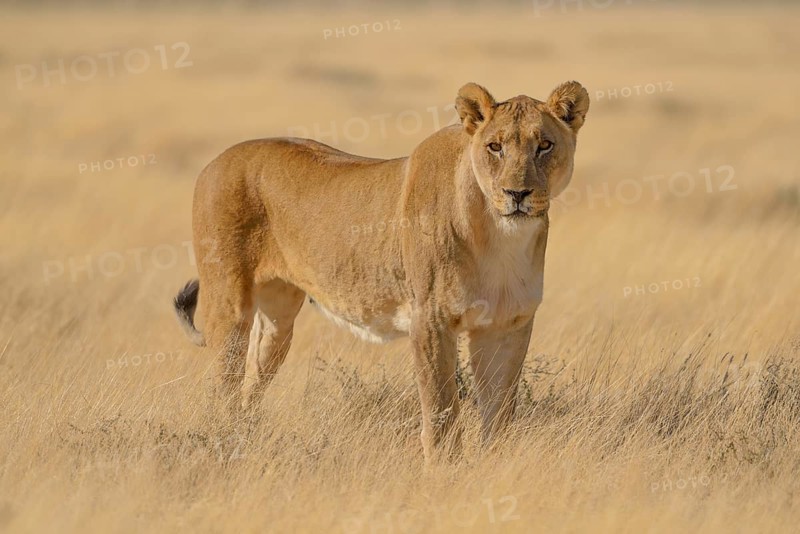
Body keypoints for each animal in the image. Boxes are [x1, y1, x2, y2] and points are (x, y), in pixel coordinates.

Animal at [174, 81, 589, 460]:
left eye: (544, 145)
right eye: (495, 147)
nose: (517, 194)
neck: (502, 236)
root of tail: (214, 162)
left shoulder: (508, 325)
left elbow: (499, 415)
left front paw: (492, 468)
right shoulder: (431, 320)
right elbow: (440, 413)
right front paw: (444, 475)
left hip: (277, 319)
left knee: (250, 387)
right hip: (229, 308)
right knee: (223, 388)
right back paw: (225, 442)